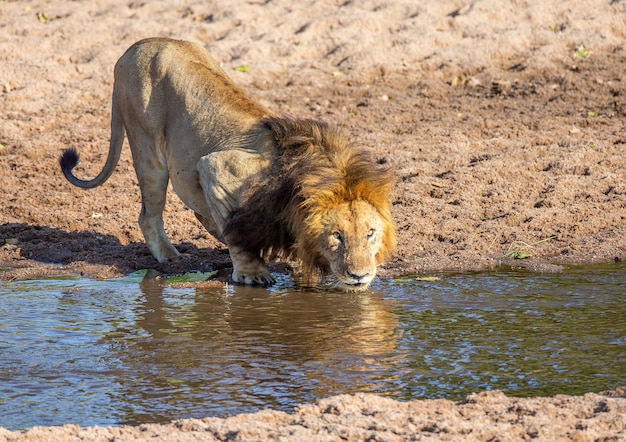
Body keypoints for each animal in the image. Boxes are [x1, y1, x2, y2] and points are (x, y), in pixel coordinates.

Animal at [62, 38, 394, 290]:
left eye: (370, 233)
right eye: (337, 235)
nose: (360, 275)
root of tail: (135, 46)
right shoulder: (216, 167)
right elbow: (239, 236)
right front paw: (253, 273)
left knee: (198, 212)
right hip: (147, 149)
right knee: (149, 215)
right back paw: (171, 257)